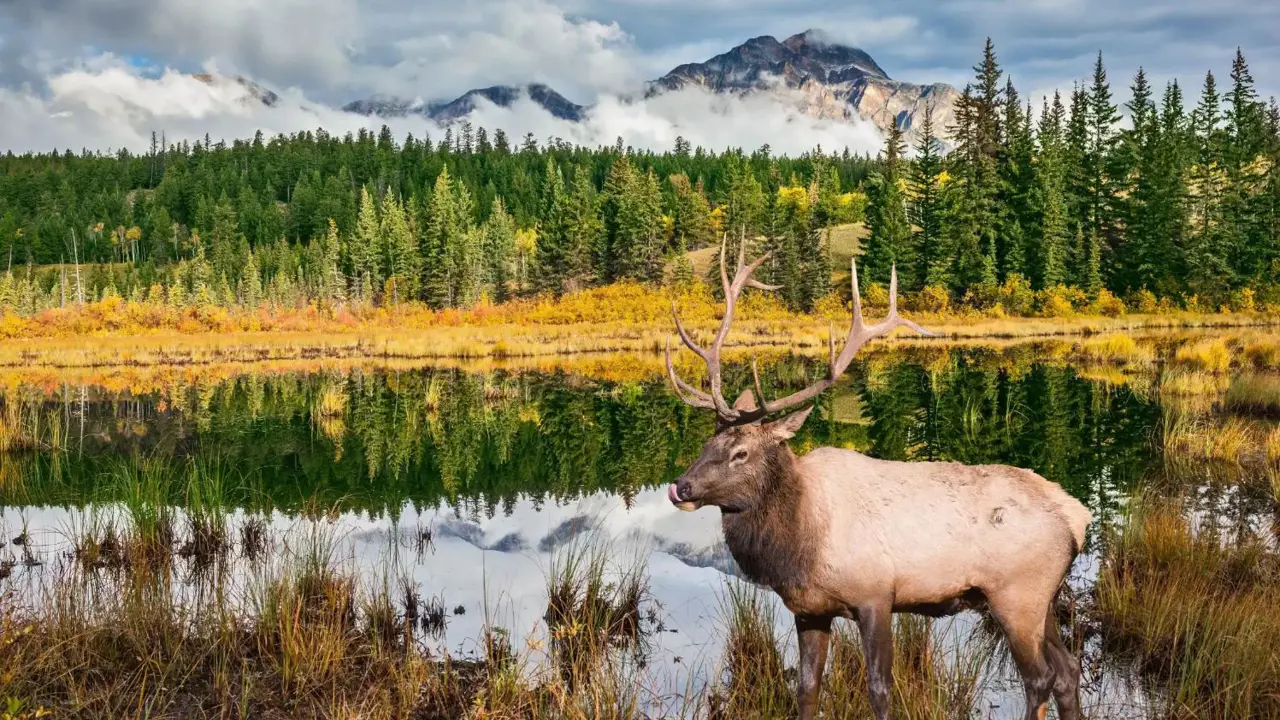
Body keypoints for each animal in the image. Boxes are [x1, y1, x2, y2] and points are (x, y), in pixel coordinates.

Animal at [664, 237, 1092, 720]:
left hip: (1016, 593)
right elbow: (807, 688)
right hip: (1044, 599)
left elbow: (880, 689)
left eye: (741, 453)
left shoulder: (876, 595)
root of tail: (1077, 517)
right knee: (1068, 669)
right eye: (706, 444)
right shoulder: (809, 609)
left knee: (1039, 677)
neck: (799, 542)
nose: (681, 486)